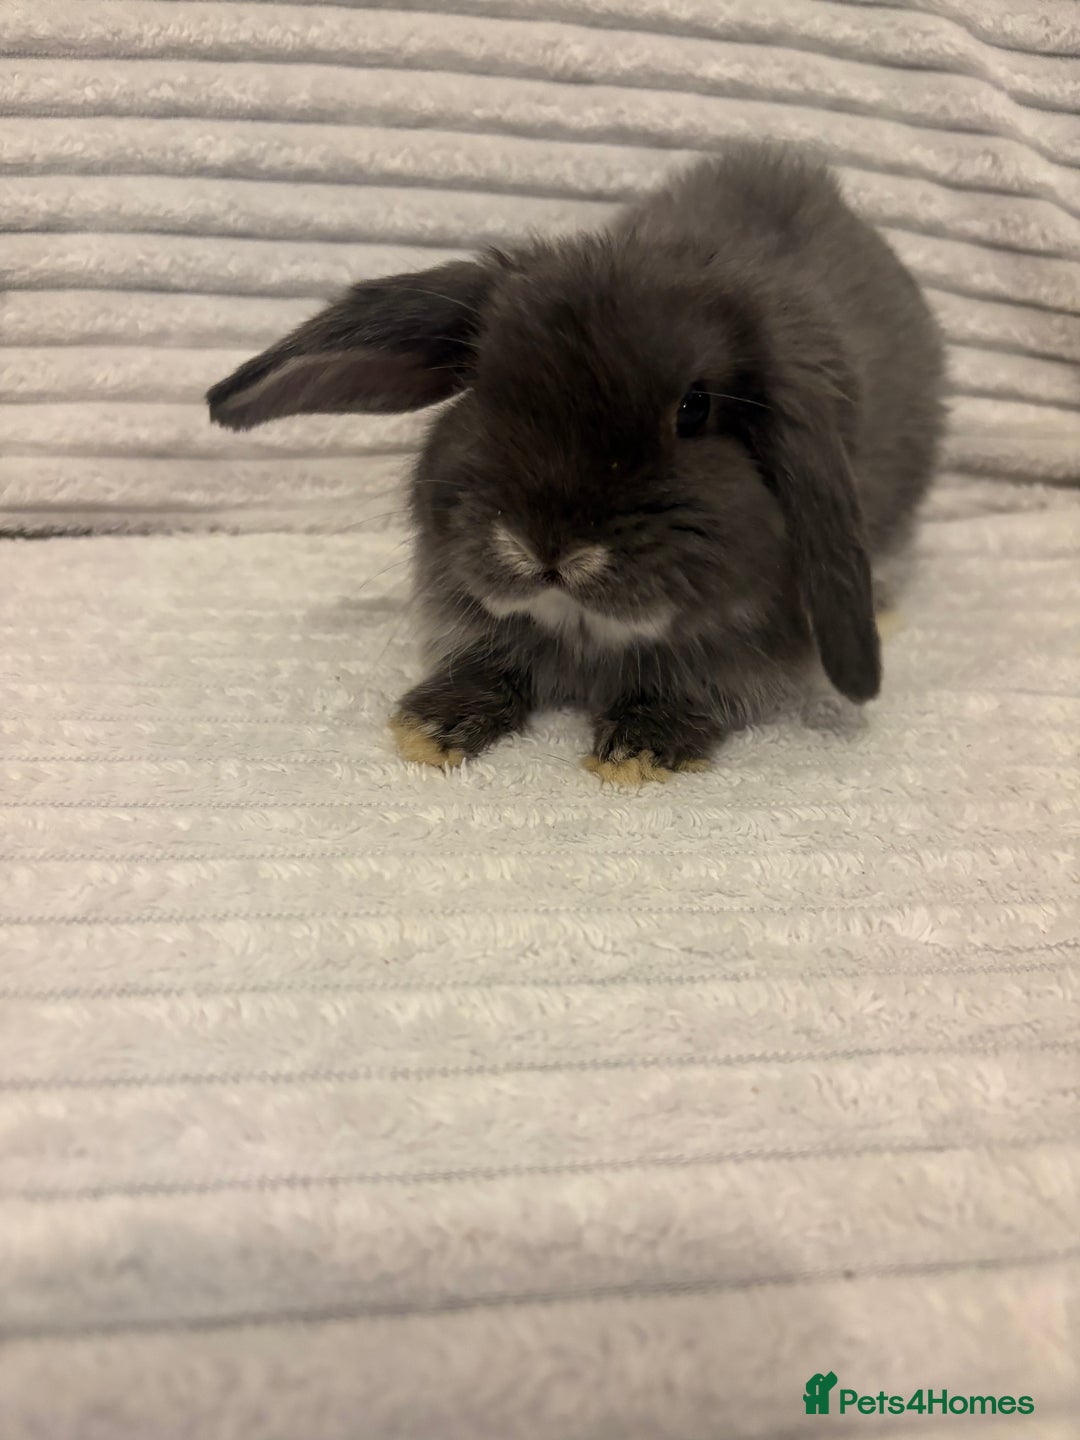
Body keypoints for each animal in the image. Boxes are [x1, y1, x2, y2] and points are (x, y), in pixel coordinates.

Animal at [208, 141, 945, 783]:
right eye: (482, 385)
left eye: (694, 409)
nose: (545, 547)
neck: (587, 633)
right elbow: (487, 667)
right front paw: (431, 728)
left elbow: (696, 690)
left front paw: (638, 753)